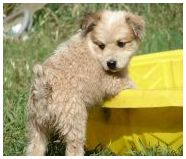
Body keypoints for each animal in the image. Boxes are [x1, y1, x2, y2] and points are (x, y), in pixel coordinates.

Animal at [25, 9, 145, 155]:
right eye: (101, 45)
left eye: (121, 44)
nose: (111, 63)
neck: (92, 48)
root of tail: (42, 87)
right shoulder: (111, 82)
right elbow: (130, 84)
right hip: (74, 120)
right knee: (73, 147)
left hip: (36, 125)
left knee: (35, 147)